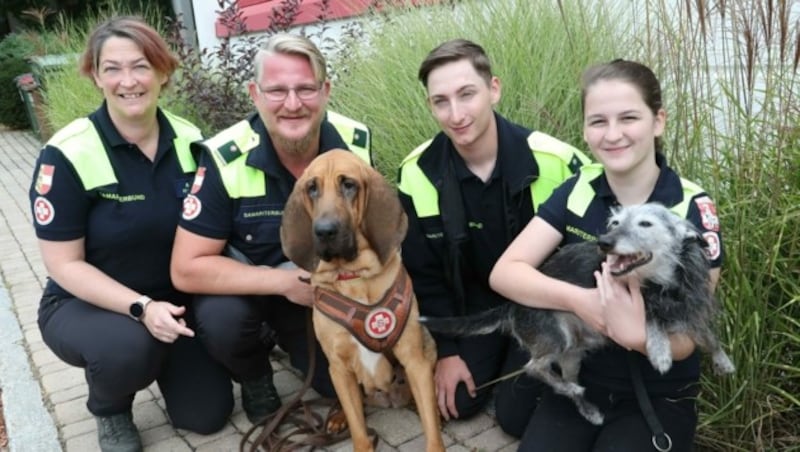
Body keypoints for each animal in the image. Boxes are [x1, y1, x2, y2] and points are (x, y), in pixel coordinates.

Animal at [422, 203, 736, 426]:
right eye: (615, 222)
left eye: (646, 223)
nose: (604, 241)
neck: (666, 284)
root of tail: (511, 306)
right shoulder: (638, 306)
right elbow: (651, 319)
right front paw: (660, 352)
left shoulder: (694, 311)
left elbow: (708, 336)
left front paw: (722, 360)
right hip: (555, 338)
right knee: (534, 368)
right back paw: (572, 389)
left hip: (572, 355)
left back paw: (587, 408)